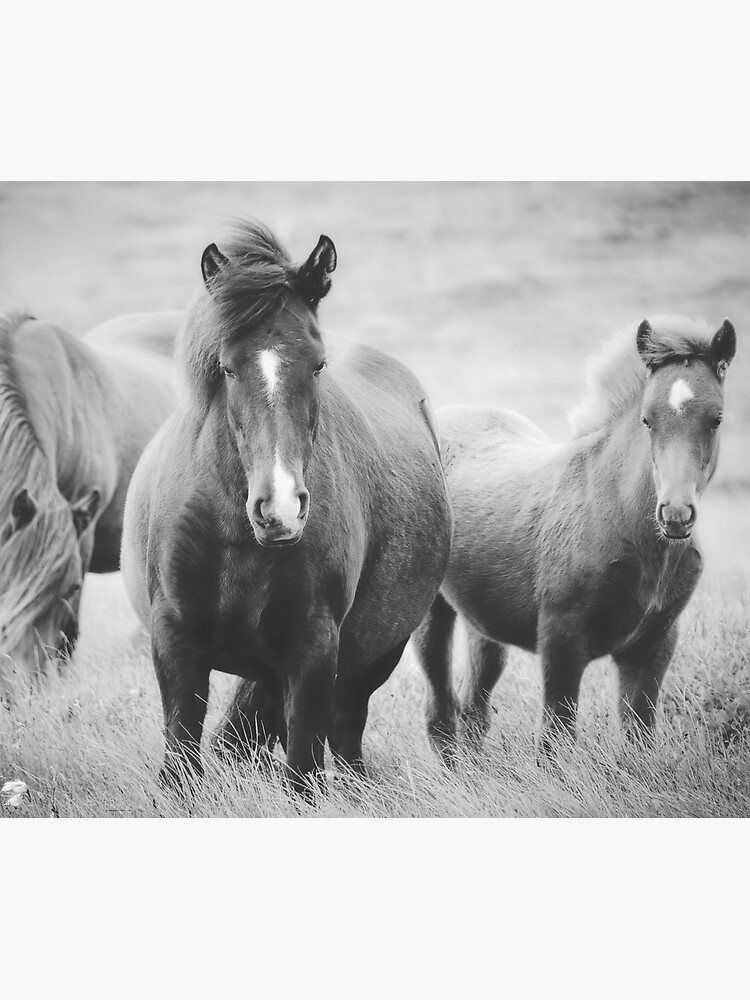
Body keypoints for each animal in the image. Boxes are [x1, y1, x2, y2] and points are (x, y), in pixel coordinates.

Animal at [122, 223, 452, 792]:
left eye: (318, 364)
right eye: (227, 367)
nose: (279, 510)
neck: (233, 532)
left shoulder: (313, 650)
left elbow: (303, 770)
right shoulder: (175, 642)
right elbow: (181, 762)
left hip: (374, 655)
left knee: (345, 732)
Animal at [418, 312, 740, 756]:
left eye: (717, 419)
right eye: (647, 419)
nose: (675, 515)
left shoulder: (653, 646)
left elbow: (638, 738)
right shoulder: (562, 642)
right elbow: (555, 740)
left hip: (482, 623)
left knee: (474, 708)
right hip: (430, 613)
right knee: (440, 711)